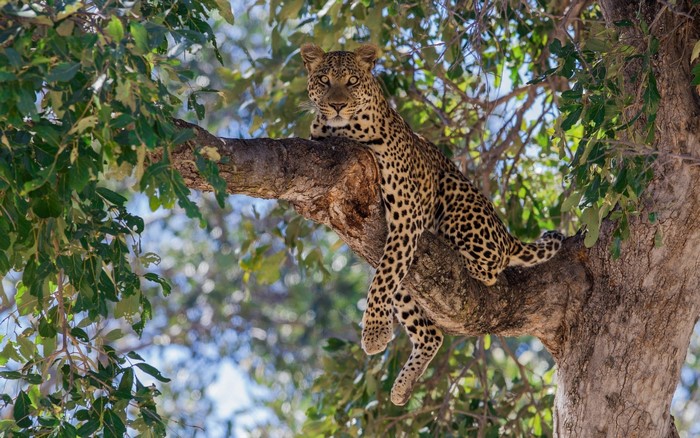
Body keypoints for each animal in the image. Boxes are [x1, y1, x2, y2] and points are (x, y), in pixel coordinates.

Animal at [300, 43, 564, 406]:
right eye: (324, 80)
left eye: (352, 81)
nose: (338, 105)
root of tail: (506, 233)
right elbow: (384, 278)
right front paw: (378, 333)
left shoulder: (407, 214)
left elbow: (381, 280)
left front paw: (374, 333)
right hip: (408, 280)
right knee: (430, 332)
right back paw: (403, 387)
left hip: (457, 202)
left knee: (489, 268)